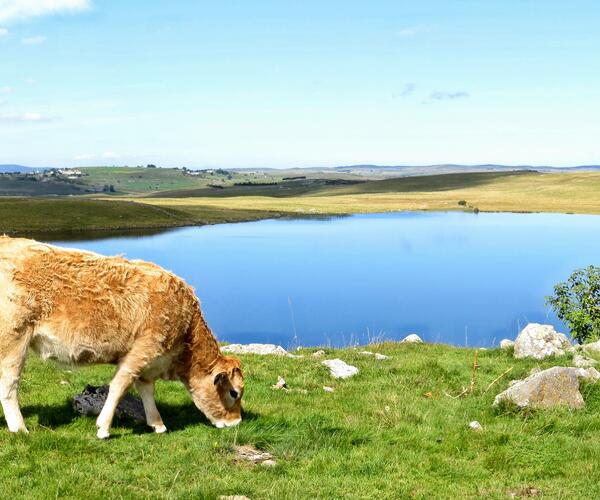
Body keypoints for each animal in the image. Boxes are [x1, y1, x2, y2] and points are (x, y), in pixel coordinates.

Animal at [0, 235, 244, 438]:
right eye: (234, 393)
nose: (237, 422)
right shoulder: (142, 349)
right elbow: (119, 386)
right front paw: (103, 428)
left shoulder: (149, 362)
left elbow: (146, 390)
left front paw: (157, 424)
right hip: (14, 337)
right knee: (9, 384)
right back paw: (20, 428)